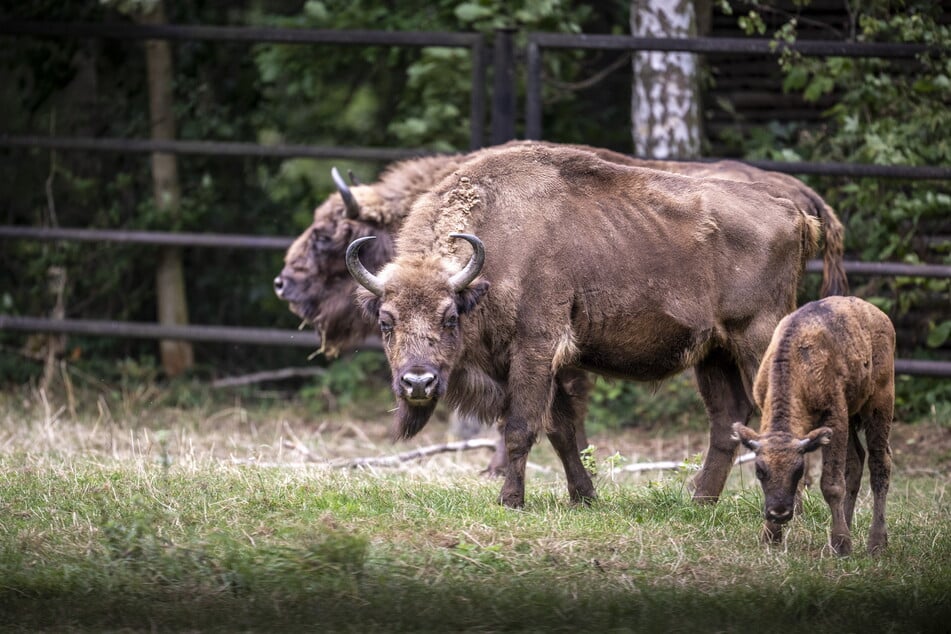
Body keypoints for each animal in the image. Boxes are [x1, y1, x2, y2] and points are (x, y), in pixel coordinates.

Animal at [348, 141, 848, 506]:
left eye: (450, 316)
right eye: (387, 321)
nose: (417, 382)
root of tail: (793, 213)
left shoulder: (535, 349)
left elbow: (521, 427)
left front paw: (511, 500)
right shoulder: (549, 366)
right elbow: (562, 430)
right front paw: (584, 497)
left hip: (758, 340)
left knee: (782, 415)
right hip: (714, 353)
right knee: (726, 420)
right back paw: (700, 501)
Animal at [732, 296, 896, 552]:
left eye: (798, 470)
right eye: (759, 471)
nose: (779, 513)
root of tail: (879, 315)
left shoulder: (834, 416)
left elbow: (831, 483)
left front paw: (842, 545)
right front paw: (770, 537)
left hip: (879, 402)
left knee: (880, 463)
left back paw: (876, 543)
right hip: (852, 415)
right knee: (856, 462)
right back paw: (848, 526)